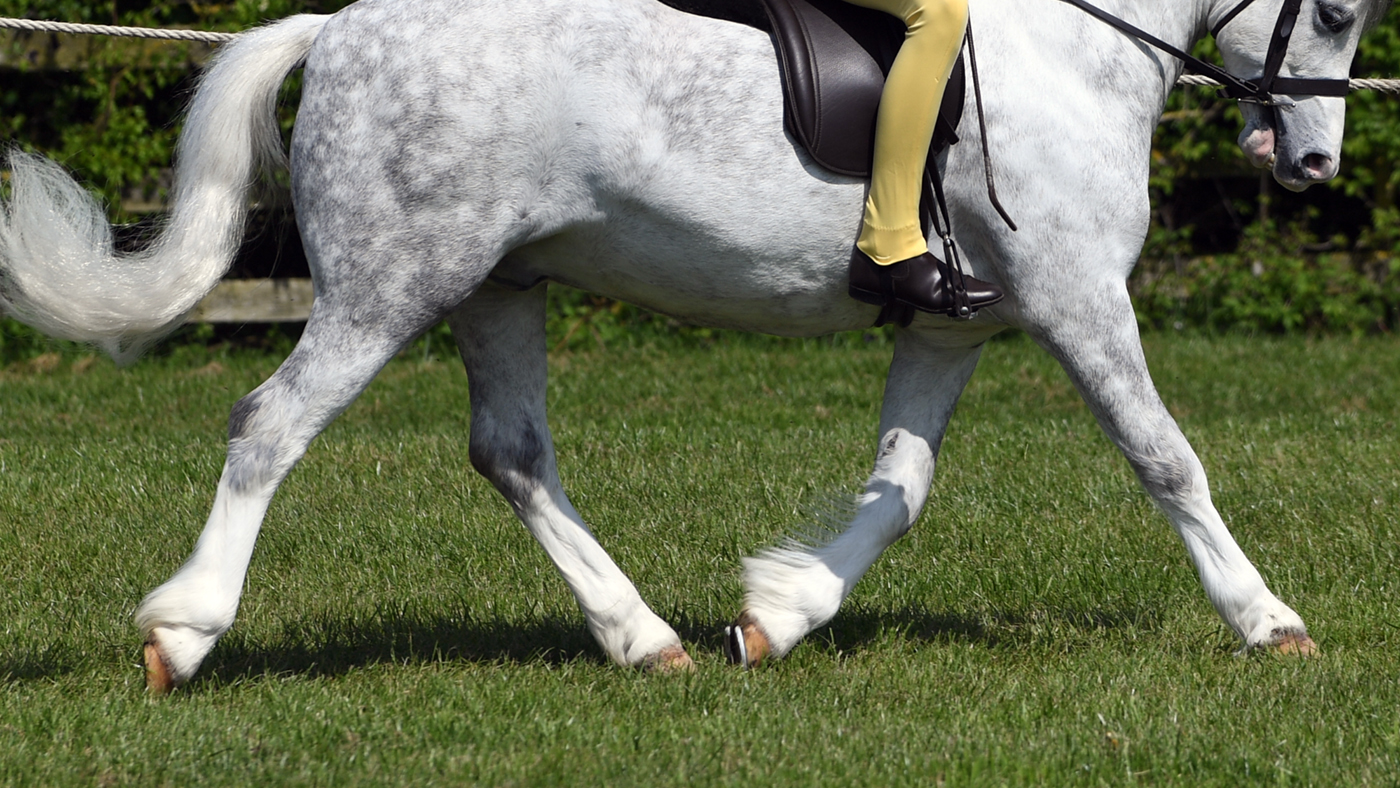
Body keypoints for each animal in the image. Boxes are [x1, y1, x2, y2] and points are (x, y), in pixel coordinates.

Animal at [0, 0, 1384, 691]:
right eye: (1327, 4)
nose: (1311, 161)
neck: (1071, 56)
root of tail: (335, 25)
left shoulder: (956, 321)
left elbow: (900, 486)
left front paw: (775, 616)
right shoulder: (1077, 297)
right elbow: (1165, 458)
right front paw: (1266, 620)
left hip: (499, 286)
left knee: (511, 453)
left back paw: (643, 637)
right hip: (394, 283)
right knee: (272, 425)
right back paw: (182, 634)